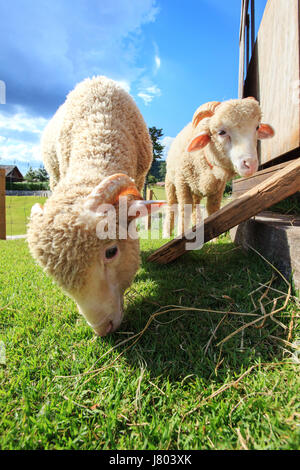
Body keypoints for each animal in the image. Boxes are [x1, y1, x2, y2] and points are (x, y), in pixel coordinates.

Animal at [164, 98, 274, 235]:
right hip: (171, 183)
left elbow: (213, 213)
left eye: (257, 127)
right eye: (221, 132)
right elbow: (184, 213)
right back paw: (167, 233)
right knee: (171, 207)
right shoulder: (182, 182)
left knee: (195, 207)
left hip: (195, 190)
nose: (251, 164)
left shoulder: (218, 189)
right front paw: (181, 235)